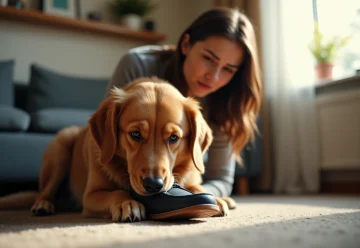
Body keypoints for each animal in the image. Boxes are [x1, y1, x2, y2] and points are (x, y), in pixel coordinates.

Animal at [0, 77, 235, 221]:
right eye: (135, 134)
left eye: (174, 138)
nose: (154, 185)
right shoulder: (90, 196)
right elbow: (116, 192)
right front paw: (127, 203)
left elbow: (197, 186)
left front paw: (217, 199)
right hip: (61, 146)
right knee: (44, 190)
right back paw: (43, 205)